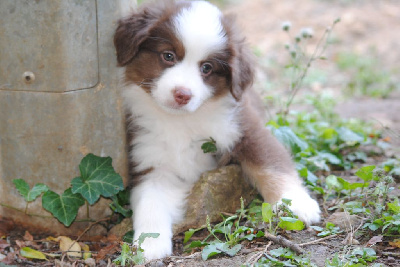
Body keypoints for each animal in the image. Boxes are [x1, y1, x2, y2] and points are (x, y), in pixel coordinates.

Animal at [114, 0, 320, 260]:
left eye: (207, 68)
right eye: (168, 56)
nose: (182, 94)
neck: (181, 121)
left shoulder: (245, 128)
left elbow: (270, 165)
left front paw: (296, 204)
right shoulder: (149, 157)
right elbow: (150, 202)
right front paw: (148, 244)